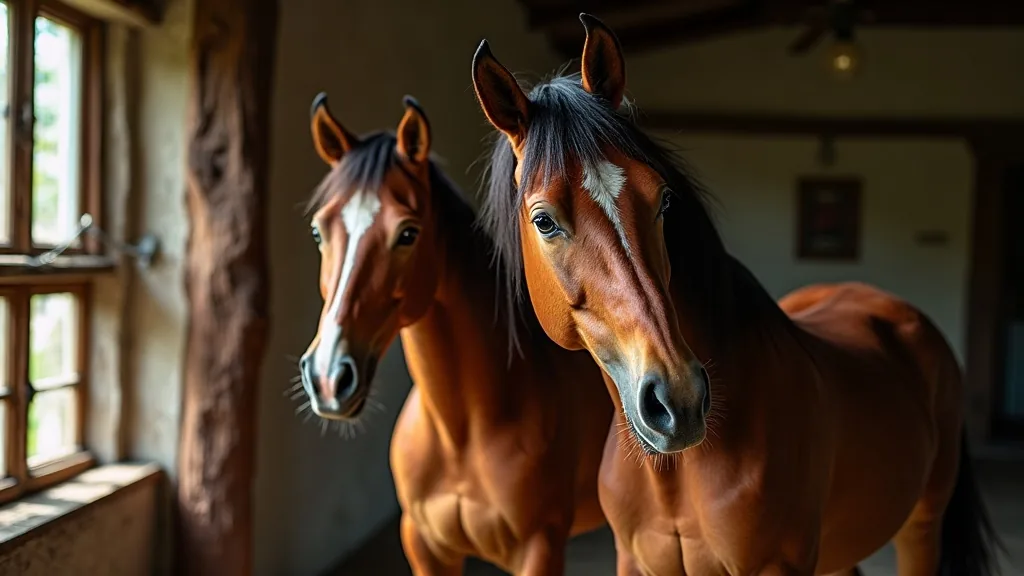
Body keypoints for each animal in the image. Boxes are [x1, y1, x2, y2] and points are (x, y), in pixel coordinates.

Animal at [298, 93, 612, 575]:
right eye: (319, 231)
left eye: (408, 233)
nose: (328, 378)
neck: (461, 434)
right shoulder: (424, 544)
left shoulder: (540, 548)